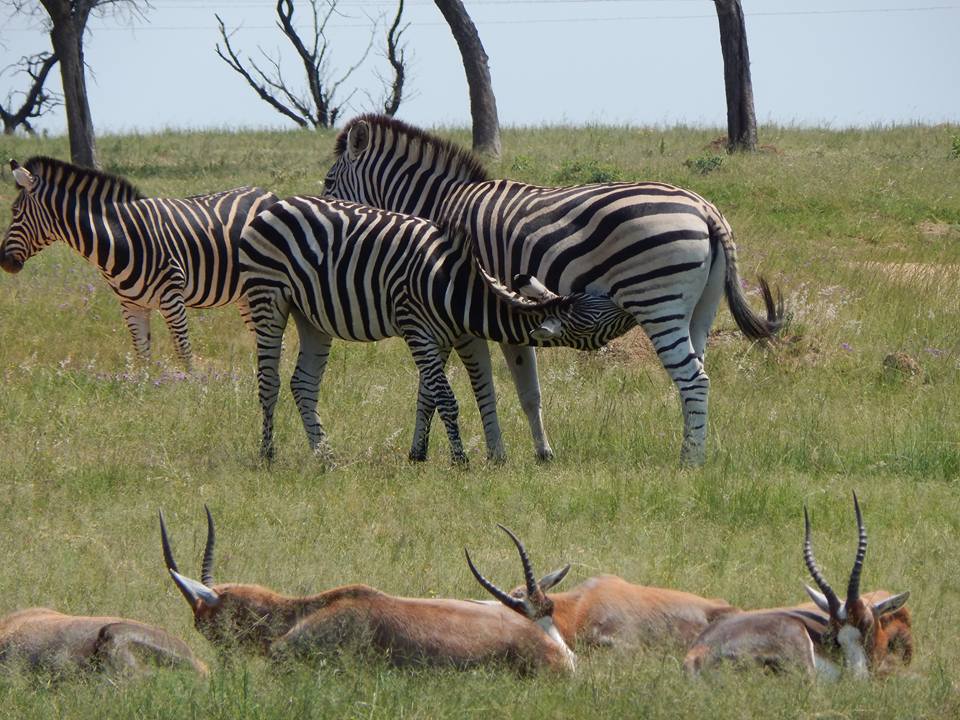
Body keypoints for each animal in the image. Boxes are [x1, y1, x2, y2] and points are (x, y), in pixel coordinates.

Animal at [1, 157, 278, 369]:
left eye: (15, 212)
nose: (3, 261)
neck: (121, 239)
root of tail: (268, 193)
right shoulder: (131, 305)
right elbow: (142, 355)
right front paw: (145, 396)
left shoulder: (172, 298)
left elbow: (183, 352)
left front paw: (191, 394)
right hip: (245, 293)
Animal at [238, 196, 635, 464]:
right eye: (599, 315)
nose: (631, 305)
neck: (460, 290)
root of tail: (276, 205)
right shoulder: (417, 330)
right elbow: (446, 398)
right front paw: (460, 459)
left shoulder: (453, 337)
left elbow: (440, 395)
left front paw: (426, 453)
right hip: (268, 297)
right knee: (269, 380)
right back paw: (268, 454)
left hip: (311, 316)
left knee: (303, 384)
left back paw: (325, 456)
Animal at [322, 115, 784, 465]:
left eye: (328, 182)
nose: (323, 206)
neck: (439, 209)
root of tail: (706, 210)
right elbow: (524, 392)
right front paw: (539, 454)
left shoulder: (460, 315)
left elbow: (457, 387)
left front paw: (477, 455)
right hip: (699, 310)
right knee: (697, 376)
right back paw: (690, 449)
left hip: (657, 303)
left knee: (693, 379)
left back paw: (690, 463)